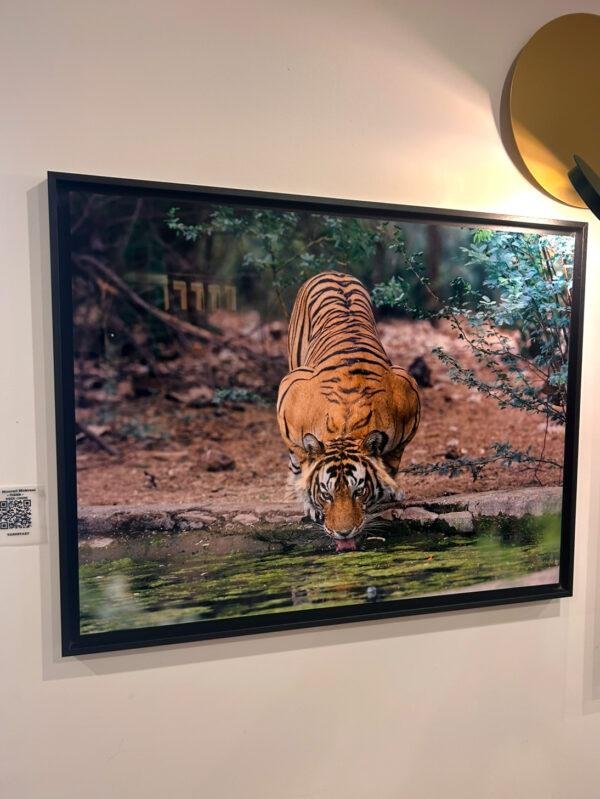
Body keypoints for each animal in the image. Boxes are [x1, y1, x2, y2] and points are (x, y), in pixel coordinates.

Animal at [277, 270, 420, 552]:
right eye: (326, 494)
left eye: (358, 492)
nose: (343, 533)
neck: (346, 425)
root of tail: (333, 272)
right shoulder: (289, 397)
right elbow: (302, 461)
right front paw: (310, 504)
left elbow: (391, 465)